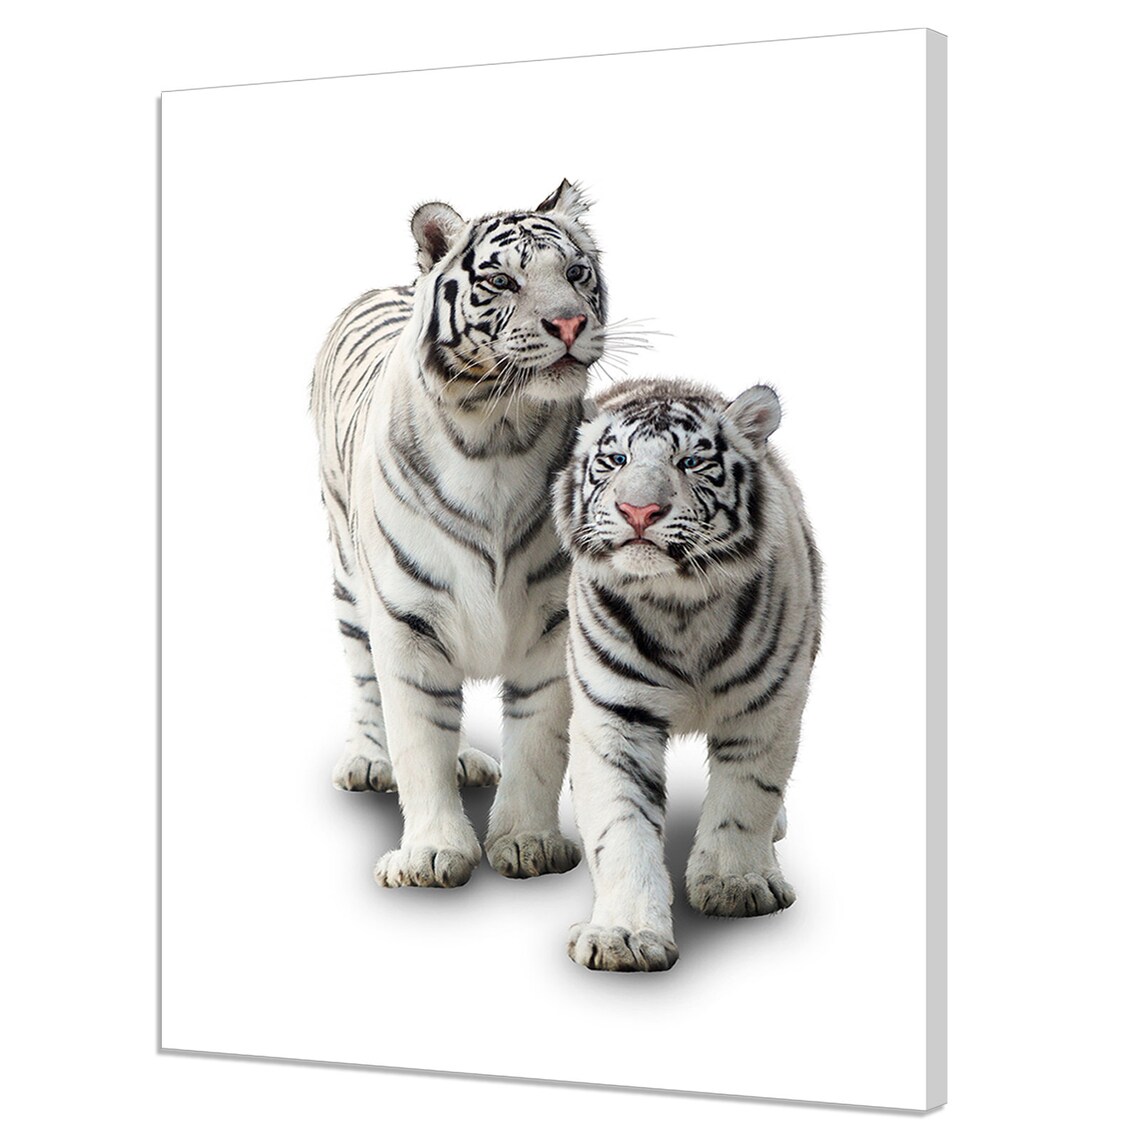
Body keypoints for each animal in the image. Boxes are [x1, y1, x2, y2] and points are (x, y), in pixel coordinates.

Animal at [310, 180, 607, 889]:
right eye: (502, 280)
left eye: (576, 274)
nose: (569, 325)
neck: (498, 431)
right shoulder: (407, 624)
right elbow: (418, 742)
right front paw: (431, 854)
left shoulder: (552, 626)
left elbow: (538, 742)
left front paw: (528, 842)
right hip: (346, 579)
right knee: (365, 679)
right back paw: (368, 759)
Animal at [552, 377, 822, 970]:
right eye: (615, 459)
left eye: (692, 461)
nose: (638, 510)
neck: (679, 606)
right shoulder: (614, 718)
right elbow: (621, 825)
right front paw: (623, 935)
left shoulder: (766, 708)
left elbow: (746, 798)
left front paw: (736, 883)